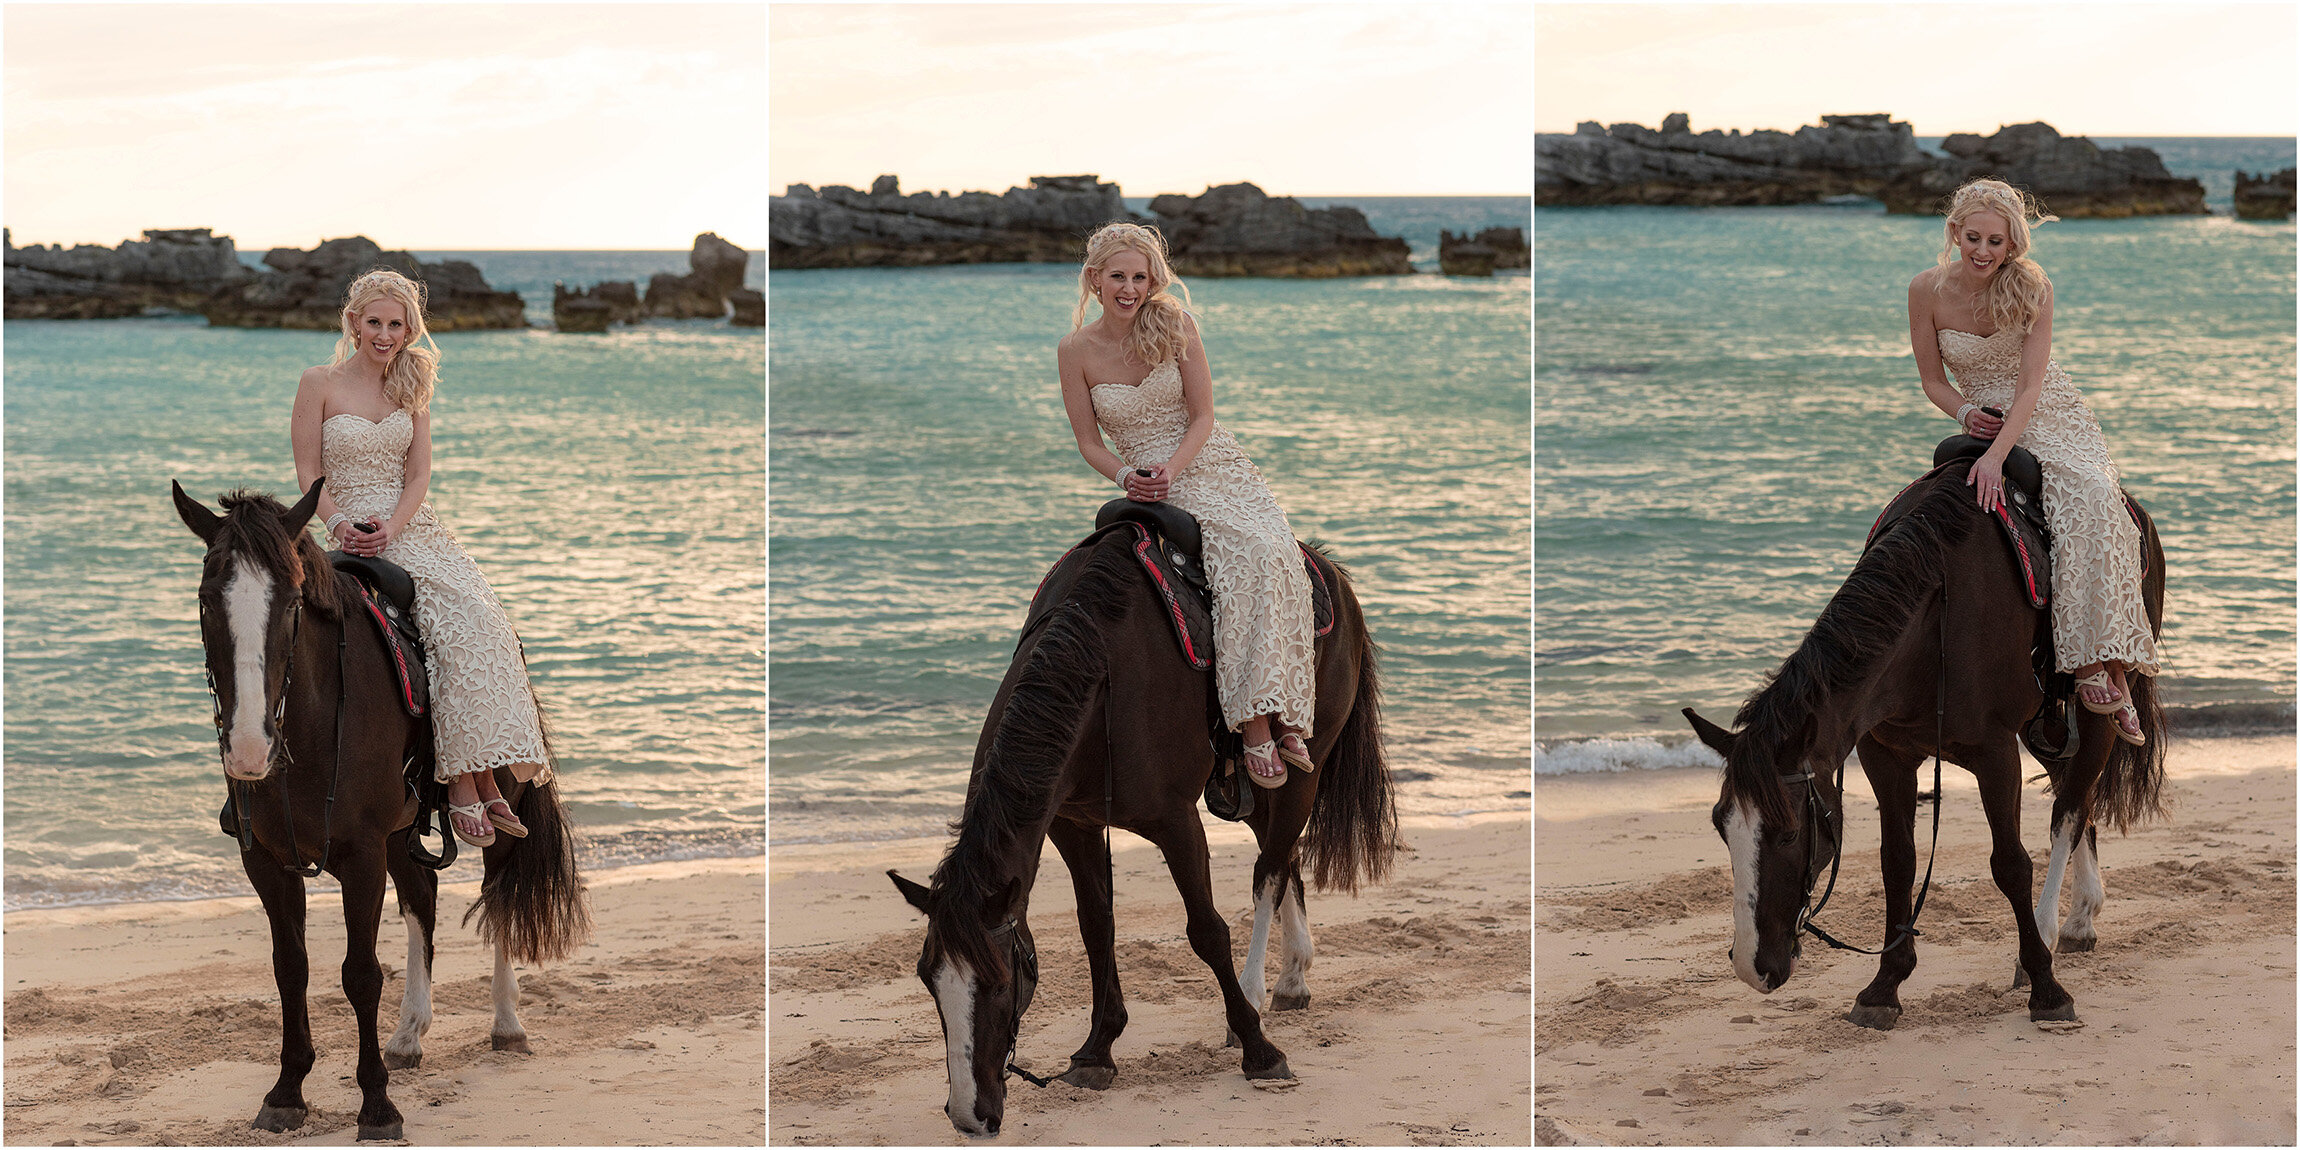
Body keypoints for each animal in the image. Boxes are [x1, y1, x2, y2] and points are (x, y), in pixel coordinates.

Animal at [175, 480, 588, 1136]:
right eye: (206, 600)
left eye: (292, 603)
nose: (248, 748)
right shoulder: (264, 859)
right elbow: (291, 967)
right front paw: (287, 1092)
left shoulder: (362, 857)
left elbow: (361, 973)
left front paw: (376, 1103)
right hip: (400, 836)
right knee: (423, 900)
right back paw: (408, 1035)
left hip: (499, 818)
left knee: (496, 897)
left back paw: (507, 1026)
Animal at [883, 526, 1389, 1136]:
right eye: (928, 979)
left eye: (1002, 982)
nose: (969, 1116)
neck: (1101, 673)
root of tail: (1329, 569)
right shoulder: (1071, 823)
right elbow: (1096, 927)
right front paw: (1097, 1051)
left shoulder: (1176, 821)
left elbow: (1207, 931)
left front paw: (1259, 1051)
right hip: (1256, 788)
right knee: (1283, 854)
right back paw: (1293, 979)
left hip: (1302, 768)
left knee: (1269, 868)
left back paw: (1255, 992)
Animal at [1692, 466, 2152, 1035]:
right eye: (1721, 826)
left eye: (1790, 833)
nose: (1752, 967)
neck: (1935, 611)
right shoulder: (1884, 756)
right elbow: (1898, 862)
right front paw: (1883, 987)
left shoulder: (1995, 755)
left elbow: (2010, 865)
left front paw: (2046, 989)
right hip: (2046, 730)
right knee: (2078, 799)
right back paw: (2080, 918)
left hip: (2094, 711)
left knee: (2069, 809)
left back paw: (2051, 930)